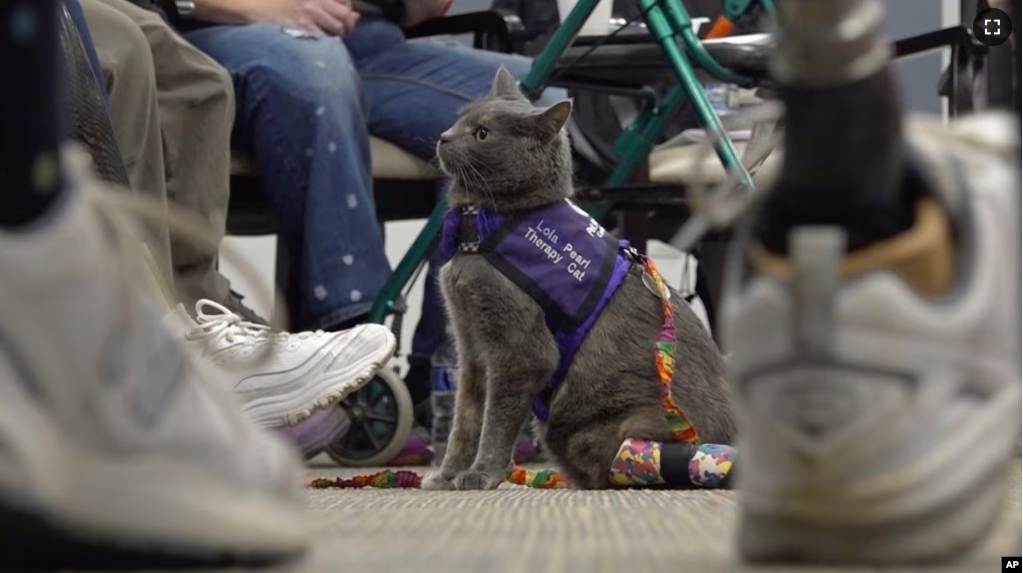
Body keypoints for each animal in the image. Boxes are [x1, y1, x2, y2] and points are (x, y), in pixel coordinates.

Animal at [423, 65, 736, 487]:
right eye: (460, 118)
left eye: (483, 133)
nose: (444, 136)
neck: (485, 225)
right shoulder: (470, 344)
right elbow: (466, 418)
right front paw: (447, 475)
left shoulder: (519, 353)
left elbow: (495, 421)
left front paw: (481, 474)